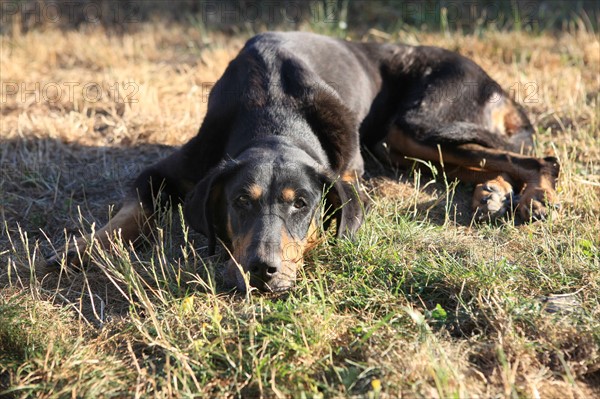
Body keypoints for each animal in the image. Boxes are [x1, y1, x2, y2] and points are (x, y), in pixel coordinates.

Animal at [47, 32, 556, 294]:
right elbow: (132, 210)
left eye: (301, 204)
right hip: (405, 141)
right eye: (240, 202)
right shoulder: (166, 172)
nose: (261, 269)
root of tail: (490, 78)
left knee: (539, 157)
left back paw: (532, 198)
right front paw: (83, 249)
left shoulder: (347, 175)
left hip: (418, 124)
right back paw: (493, 193)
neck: (275, 114)